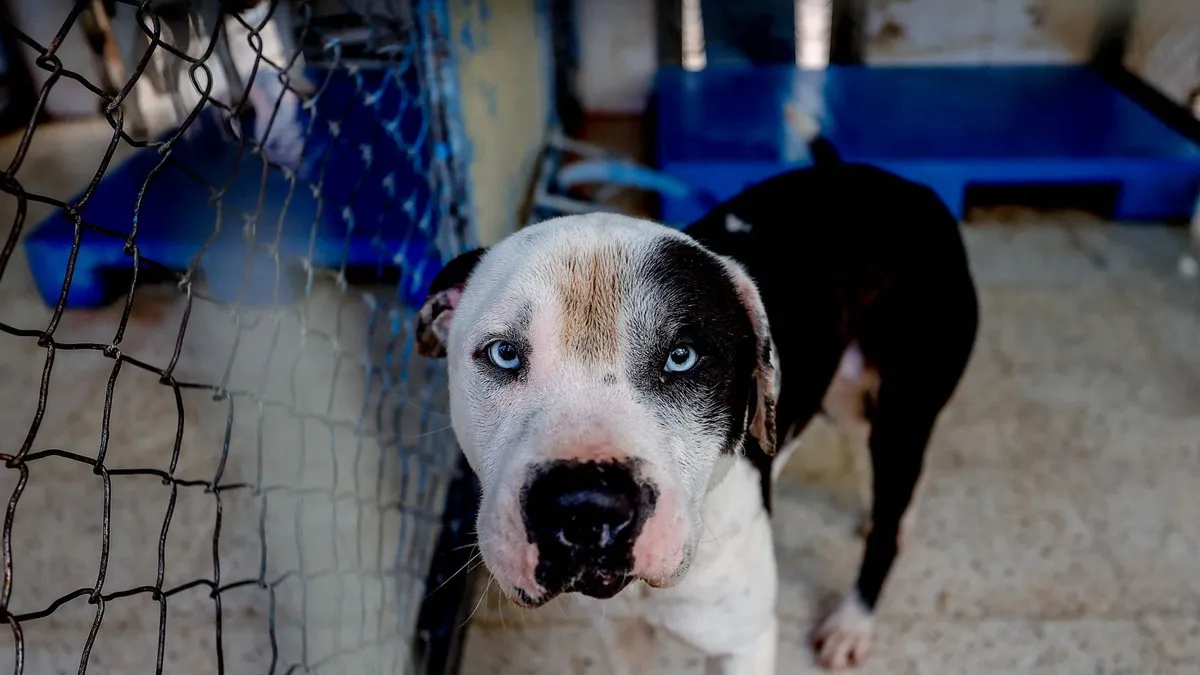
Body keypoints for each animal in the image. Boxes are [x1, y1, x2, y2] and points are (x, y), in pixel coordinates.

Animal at [417, 133, 979, 667]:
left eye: (682, 357)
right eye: (504, 354)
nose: (585, 508)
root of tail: (901, 183)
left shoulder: (743, 644)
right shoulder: (620, 635)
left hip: (903, 407)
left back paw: (853, 620)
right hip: (845, 397)